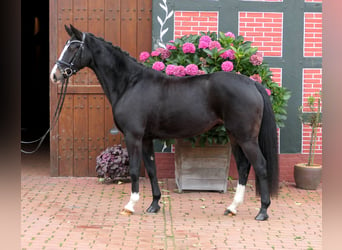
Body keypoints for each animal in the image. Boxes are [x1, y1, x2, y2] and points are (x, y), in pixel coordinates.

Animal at [50, 24, 278, 221]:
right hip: (234, 136)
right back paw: (232, 207)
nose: (55, 75)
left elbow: (135, 169)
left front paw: (130, 205)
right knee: (243, 166)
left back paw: (263, 211)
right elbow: (152, 170)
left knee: (260, 165)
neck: (130, 83)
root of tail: (252, 83)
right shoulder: (146, 139)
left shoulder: (133, 137)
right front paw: (154, 205)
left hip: (245, 138)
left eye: (74, 47)